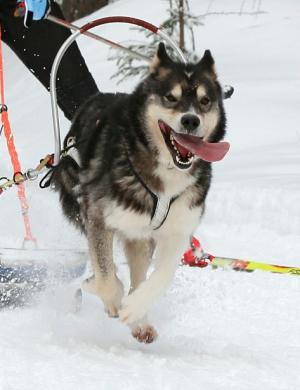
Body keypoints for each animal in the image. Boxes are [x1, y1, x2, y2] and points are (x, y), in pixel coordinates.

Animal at [52, 42, 230, 342]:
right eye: (171, 97)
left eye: (205, 101)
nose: (191, 120)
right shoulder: (97, 217)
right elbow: (105, 274)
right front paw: (111, 298)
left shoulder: (178, 229)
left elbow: (162, 275)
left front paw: (135, 308)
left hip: (139, 235)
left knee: (138, 272)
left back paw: (140, 322)